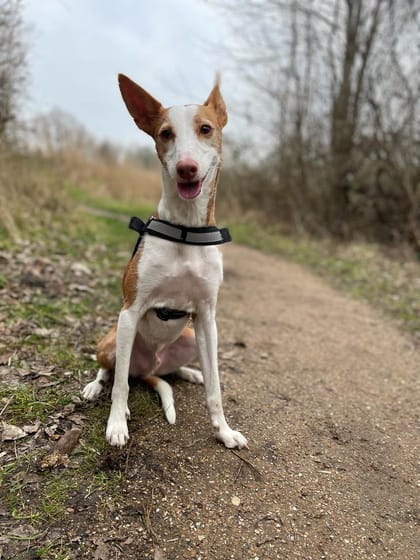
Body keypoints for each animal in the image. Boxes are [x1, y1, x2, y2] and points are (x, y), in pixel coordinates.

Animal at [81, 74, 246, 450]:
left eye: (205, 128)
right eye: (165, 133)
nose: (186, 168)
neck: (186, 230)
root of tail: (149, 368)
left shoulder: (207, 319)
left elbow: (216, 388)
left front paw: (224, 431)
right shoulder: (130, 312)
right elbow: (120, 386)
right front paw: (116, 425)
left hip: (188, 336)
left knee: (165, 372)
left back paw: (189, 371)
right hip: (113, 340)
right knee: (114, 372)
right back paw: (95, 386)